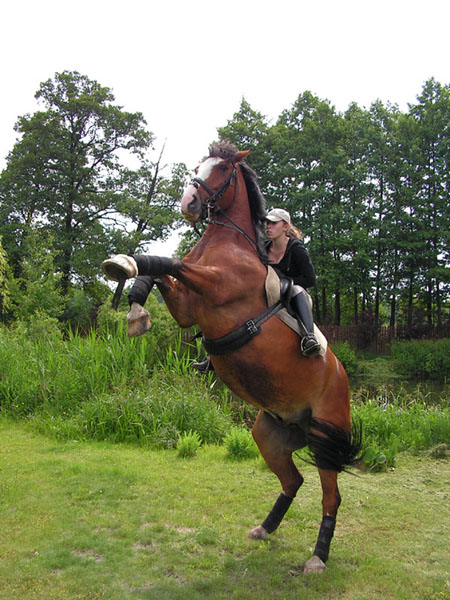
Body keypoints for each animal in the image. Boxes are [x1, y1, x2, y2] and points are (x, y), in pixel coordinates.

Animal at [100, 143, 360, 576]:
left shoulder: (216, 285)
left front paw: (126, 264)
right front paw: (136, 306)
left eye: (221, 168)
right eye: (196, 166)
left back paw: (318, 557)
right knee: (292, 482)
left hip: (326, 433)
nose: (188, 203)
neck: (228, 242)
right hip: (269, 434)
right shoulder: (187, 308)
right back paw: (265, 528)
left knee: (330, 497)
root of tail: (342, 379)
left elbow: (172, 262)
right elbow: (163, 273)